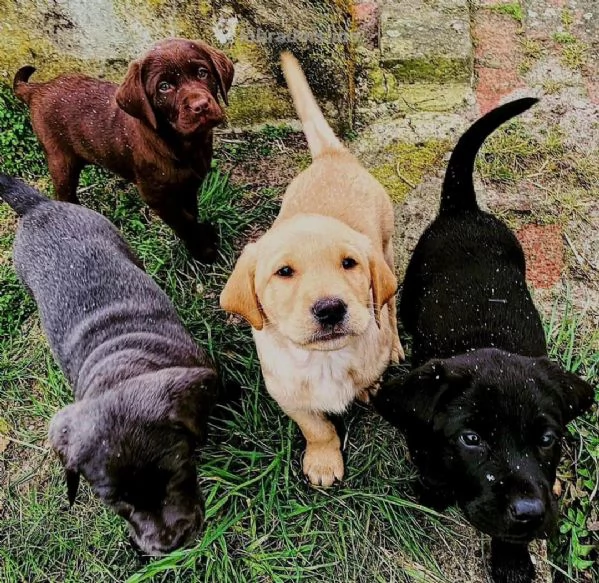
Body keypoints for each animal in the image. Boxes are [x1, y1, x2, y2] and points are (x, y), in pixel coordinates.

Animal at [220, 52, 404, 488]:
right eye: (284, 272)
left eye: (349, 263)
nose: (330, 308)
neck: (325, 360)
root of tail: (331, 156)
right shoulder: (285, 392)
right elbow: (316, 427)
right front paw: (323, 461)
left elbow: (371, 374)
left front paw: (368, 388)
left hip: (387, 247)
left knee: (389, 303)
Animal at [376, 100, 596, 583]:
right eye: (471, 438)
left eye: (548, 438)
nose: (531, 513)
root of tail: (466, 210)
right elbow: (432, 469)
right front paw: (434, 492)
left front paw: (512, 560)